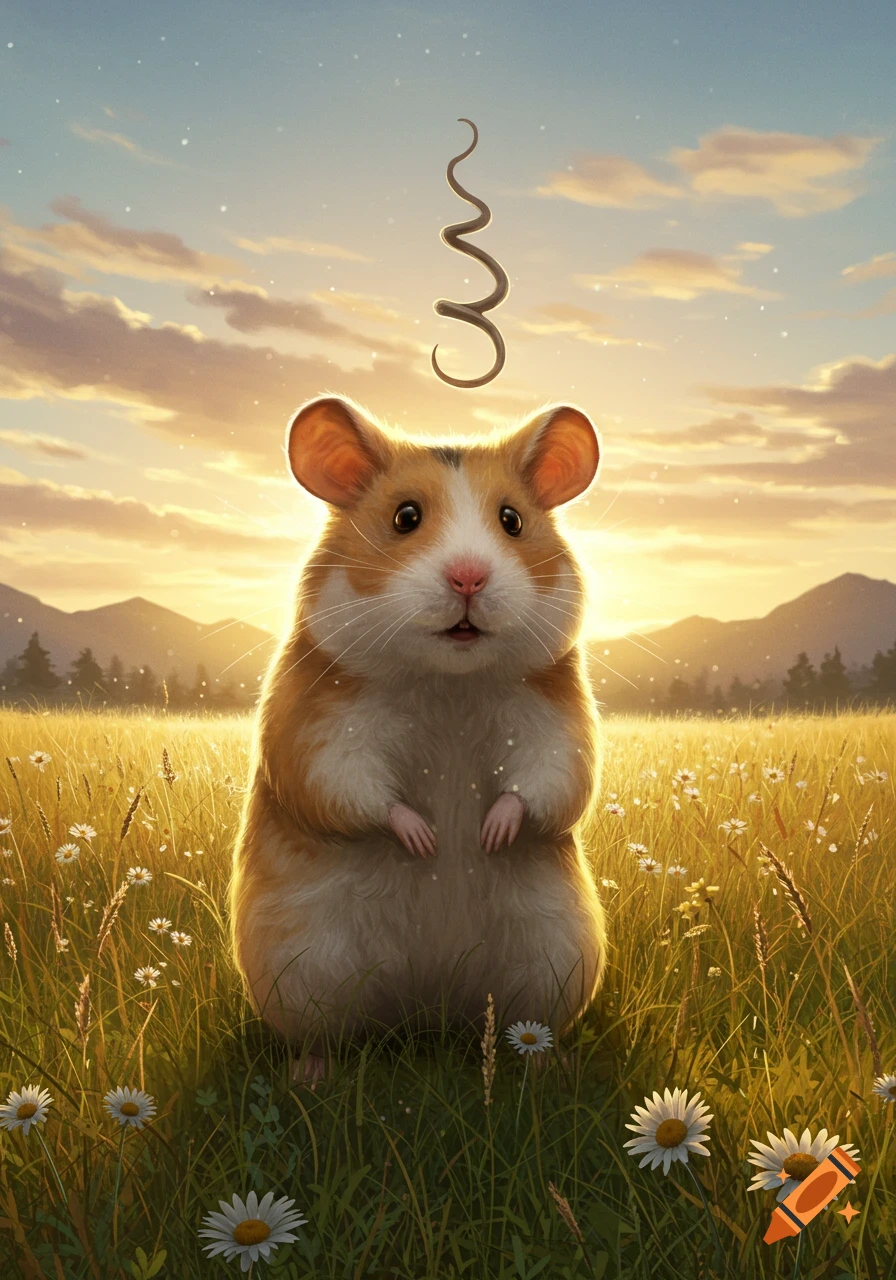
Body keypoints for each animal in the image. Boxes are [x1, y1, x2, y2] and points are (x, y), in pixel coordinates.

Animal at [229, 394, 607, 1084]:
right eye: (406, 517)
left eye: (512, 520)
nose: (469, 578)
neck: (446, 682)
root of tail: (428, 1013)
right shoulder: (318, 731)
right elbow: (358, 791)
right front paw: (427, 840)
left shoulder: (559, 725)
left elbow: (548, 783)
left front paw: (489, 835)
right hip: (301, 965)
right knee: (326, 1035)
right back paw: (310, 1076)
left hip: (556, 954)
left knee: (525, 1028)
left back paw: (548, 1067)